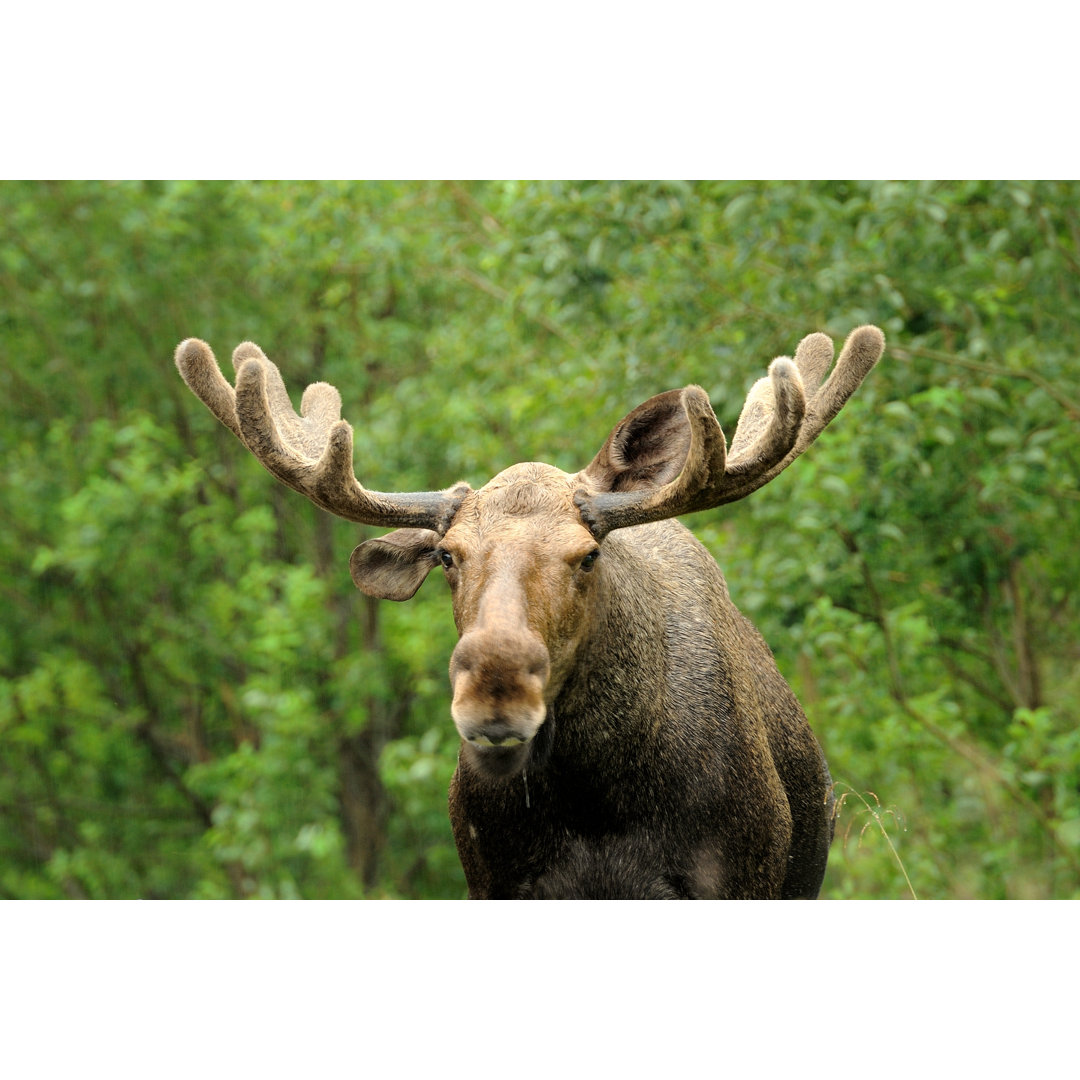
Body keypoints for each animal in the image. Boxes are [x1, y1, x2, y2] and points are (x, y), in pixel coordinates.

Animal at [179, 324, 885, 898]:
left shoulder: (739, 876)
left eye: (588, 556)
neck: (597, 804)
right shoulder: (495, 883)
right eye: (447, 556)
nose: (497, 687)